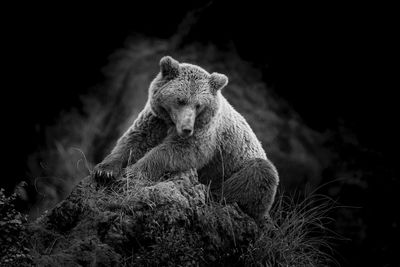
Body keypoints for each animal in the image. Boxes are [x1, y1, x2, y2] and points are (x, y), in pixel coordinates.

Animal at [93, 55, 280, 223]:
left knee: (260, 173)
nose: (186, 128)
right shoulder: (156, 120)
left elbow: (182, 151)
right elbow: (134, 140)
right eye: (180, 100)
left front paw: (132, 173)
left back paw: (214, 196)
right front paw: (104, 171)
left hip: (233, 169)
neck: (172, 122)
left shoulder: (205, 131)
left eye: (198, 105)